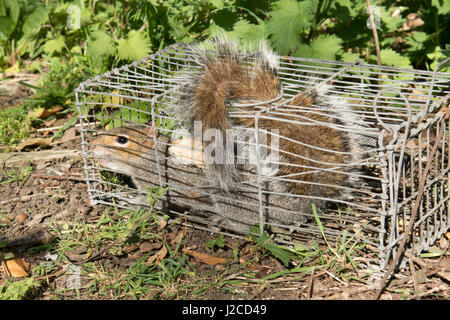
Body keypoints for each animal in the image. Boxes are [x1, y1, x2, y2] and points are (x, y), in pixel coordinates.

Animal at [90, 38, 376, 232]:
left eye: (122, 140)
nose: (92, 145)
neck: (151, 157)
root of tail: (301, 205)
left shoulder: (158, 186)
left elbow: (149, 204)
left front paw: (127, 203)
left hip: (232, 199)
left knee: (250, 226)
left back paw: (221, 221)